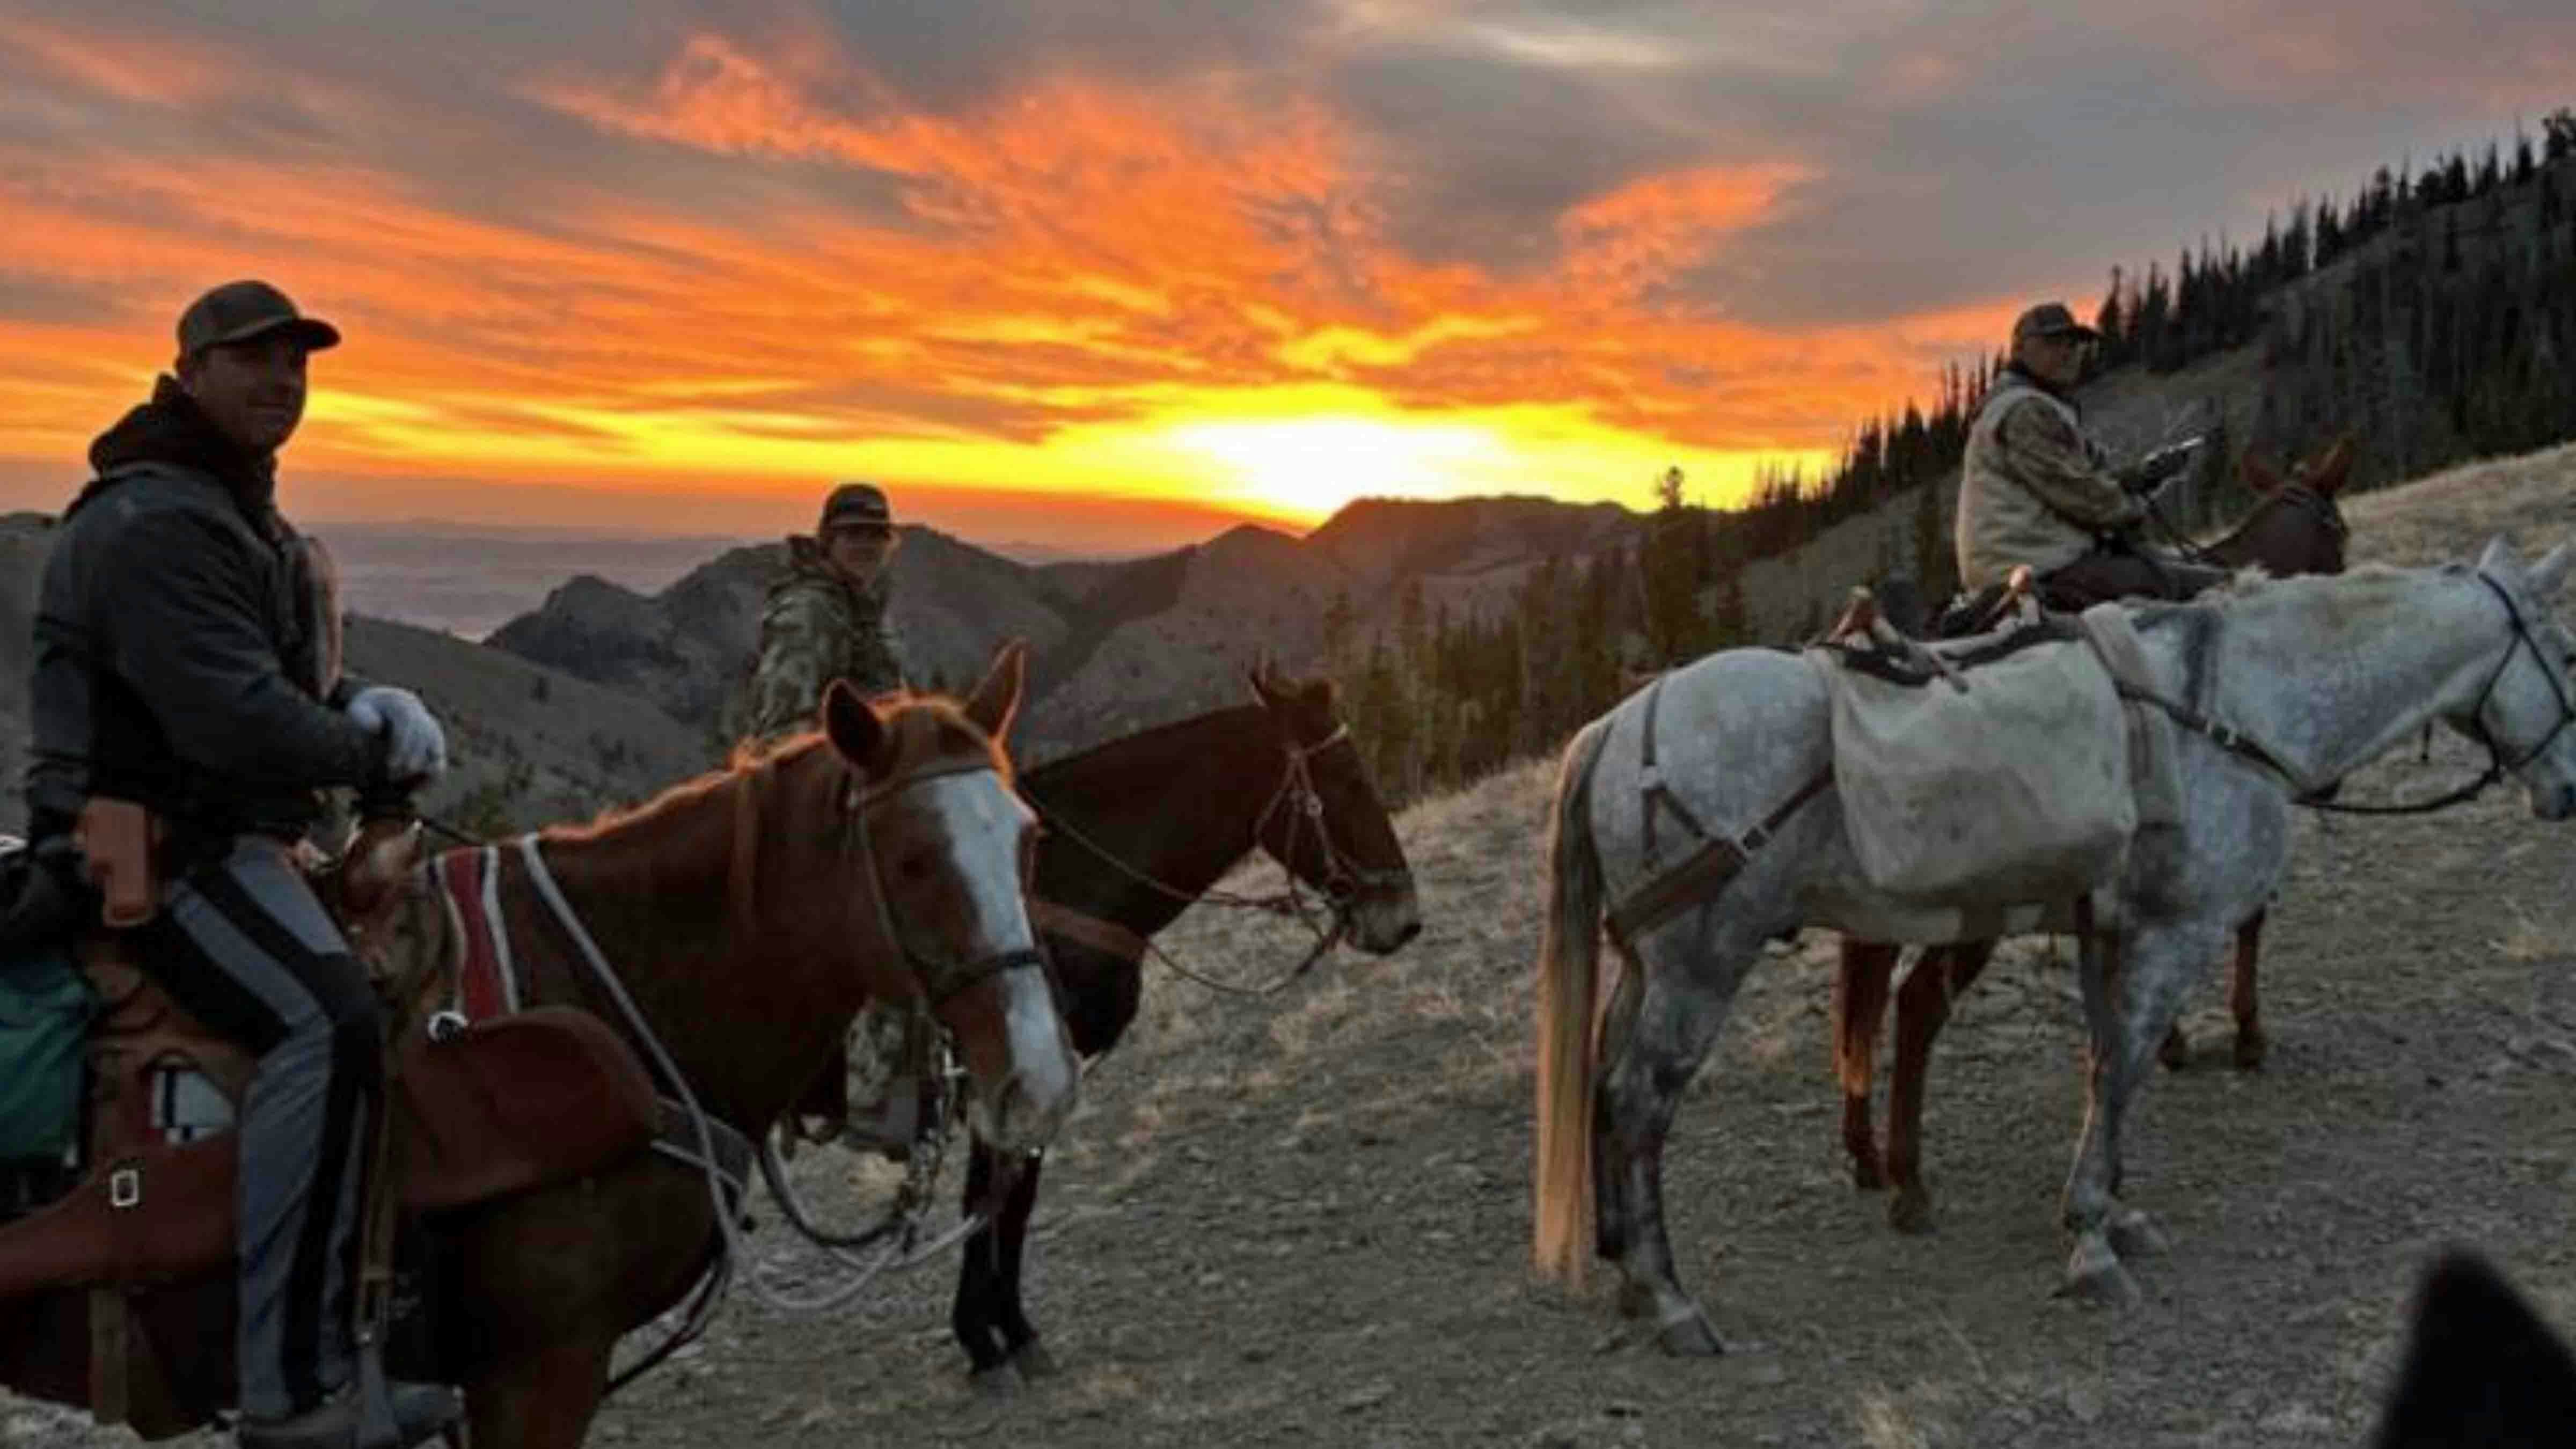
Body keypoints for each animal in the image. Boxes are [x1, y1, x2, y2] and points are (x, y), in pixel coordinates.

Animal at [942, 665, 1422, 1392]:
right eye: (1346, 780)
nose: (1404, 917)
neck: (1052, 892)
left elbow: (1014, 1202)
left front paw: (1015, 1333)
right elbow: (987, 1202)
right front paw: (983, 1341)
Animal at [1525, 536, 2576, 1351]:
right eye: (2565, 648)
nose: (2566, 790)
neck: (2234, 705)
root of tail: (1617, 724)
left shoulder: (2114, 929)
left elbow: (2109, 1062)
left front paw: (2117, 1210)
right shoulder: (2177, 933)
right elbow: (2123, 1069)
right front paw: (2092, 1238)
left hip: (1648, 963)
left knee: (1606, 1079)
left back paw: (1629, 1262)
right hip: (1700, 967)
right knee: (1639, 1101)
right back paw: (1670, 1298)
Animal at [1834, 433, 2359, 1222]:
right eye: (2341, 539)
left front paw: (2165, 1045)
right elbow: (2249, 917)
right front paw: (2245, 1034)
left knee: (1864, 1001)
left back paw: (1865, 1156)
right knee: (1919, 1000)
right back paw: (1909, 1183)